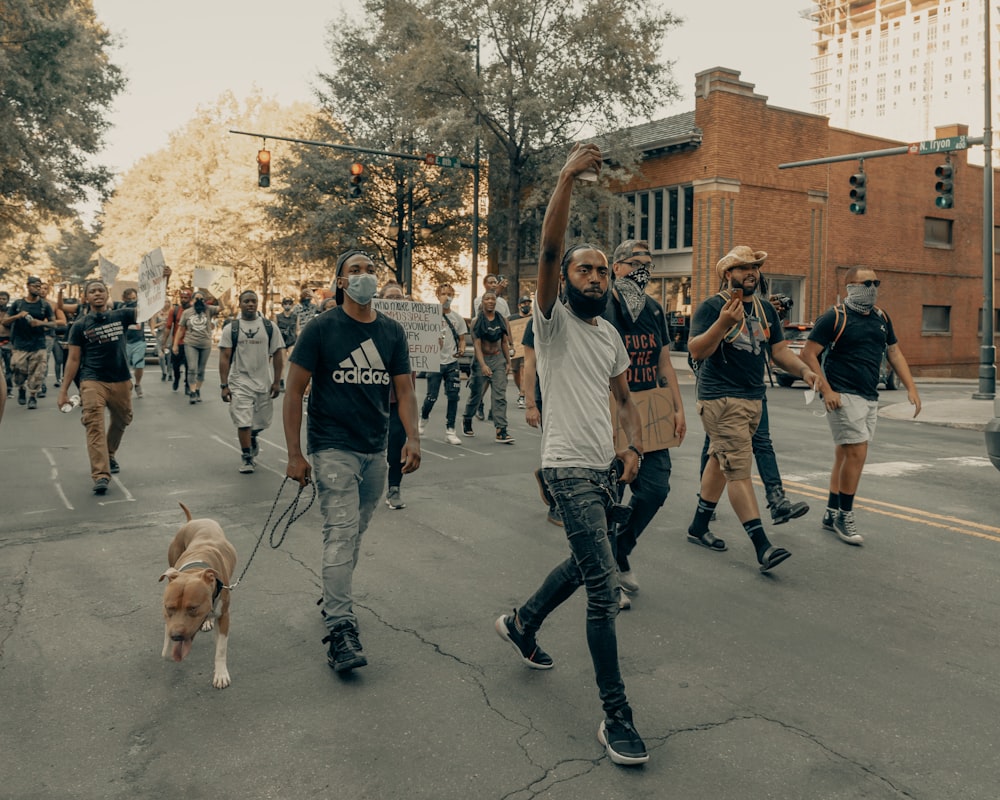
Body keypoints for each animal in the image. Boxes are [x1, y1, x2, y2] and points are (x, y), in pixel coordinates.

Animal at [160, 506, 238, 688]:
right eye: (168, 608)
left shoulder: (224, 616)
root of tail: (193, 521)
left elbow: (221, 649)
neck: (195, 569)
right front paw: (167, 646)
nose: (176, 636)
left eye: (193, 608)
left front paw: (221, 674)